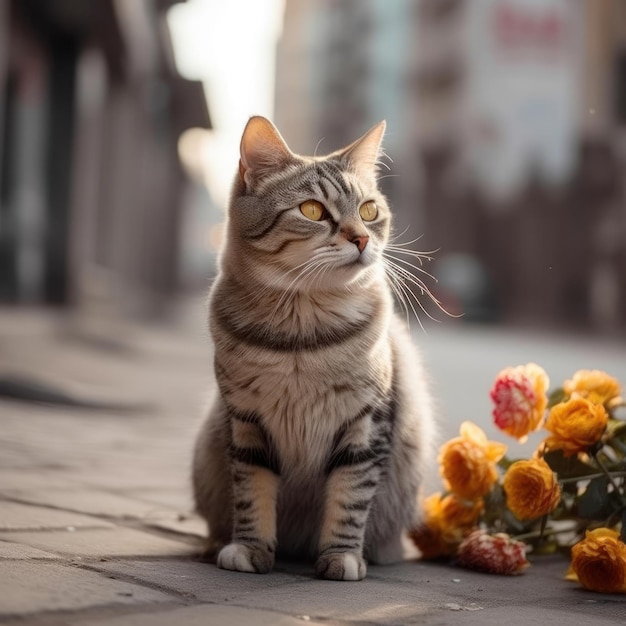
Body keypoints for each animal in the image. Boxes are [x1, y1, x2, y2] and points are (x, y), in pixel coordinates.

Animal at [193, 114, 436, 576]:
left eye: (369, 211)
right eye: (312, 211)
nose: (361, 239)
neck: (300, 339)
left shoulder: (366, 424)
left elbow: (350, 498)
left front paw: (342, 556)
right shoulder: (246, 422)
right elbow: (252, 493)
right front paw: (249, 549)